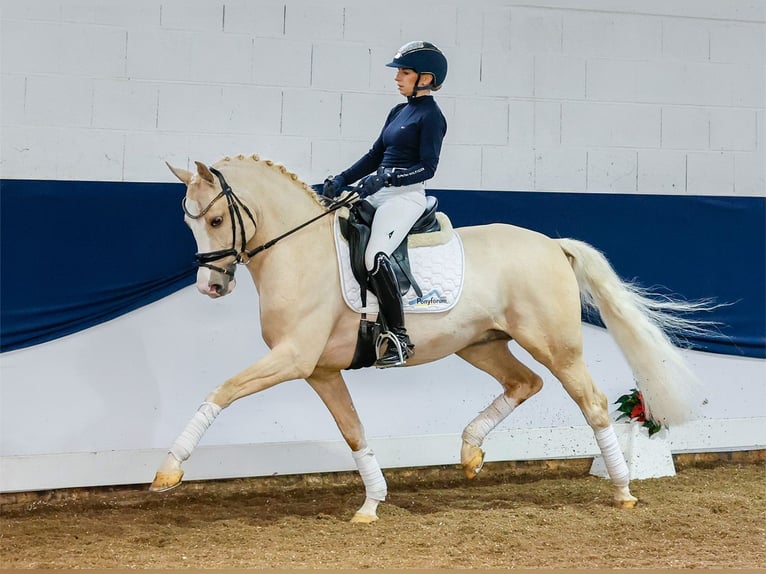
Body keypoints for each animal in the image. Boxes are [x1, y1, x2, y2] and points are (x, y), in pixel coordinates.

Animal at [153, 155, 712, 524]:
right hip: (481, 344)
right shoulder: (320, 370)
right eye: (189, 220)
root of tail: (552, 244)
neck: (300, 250)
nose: (210, 286)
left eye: (217, 219)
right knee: (524, 383)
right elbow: (353, 432)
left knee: (591, 403)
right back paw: (469, 452)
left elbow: (222, 391)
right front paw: (371, 503)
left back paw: (622, 490)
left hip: (556, 345)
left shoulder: (292, 358)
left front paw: (168, 471)